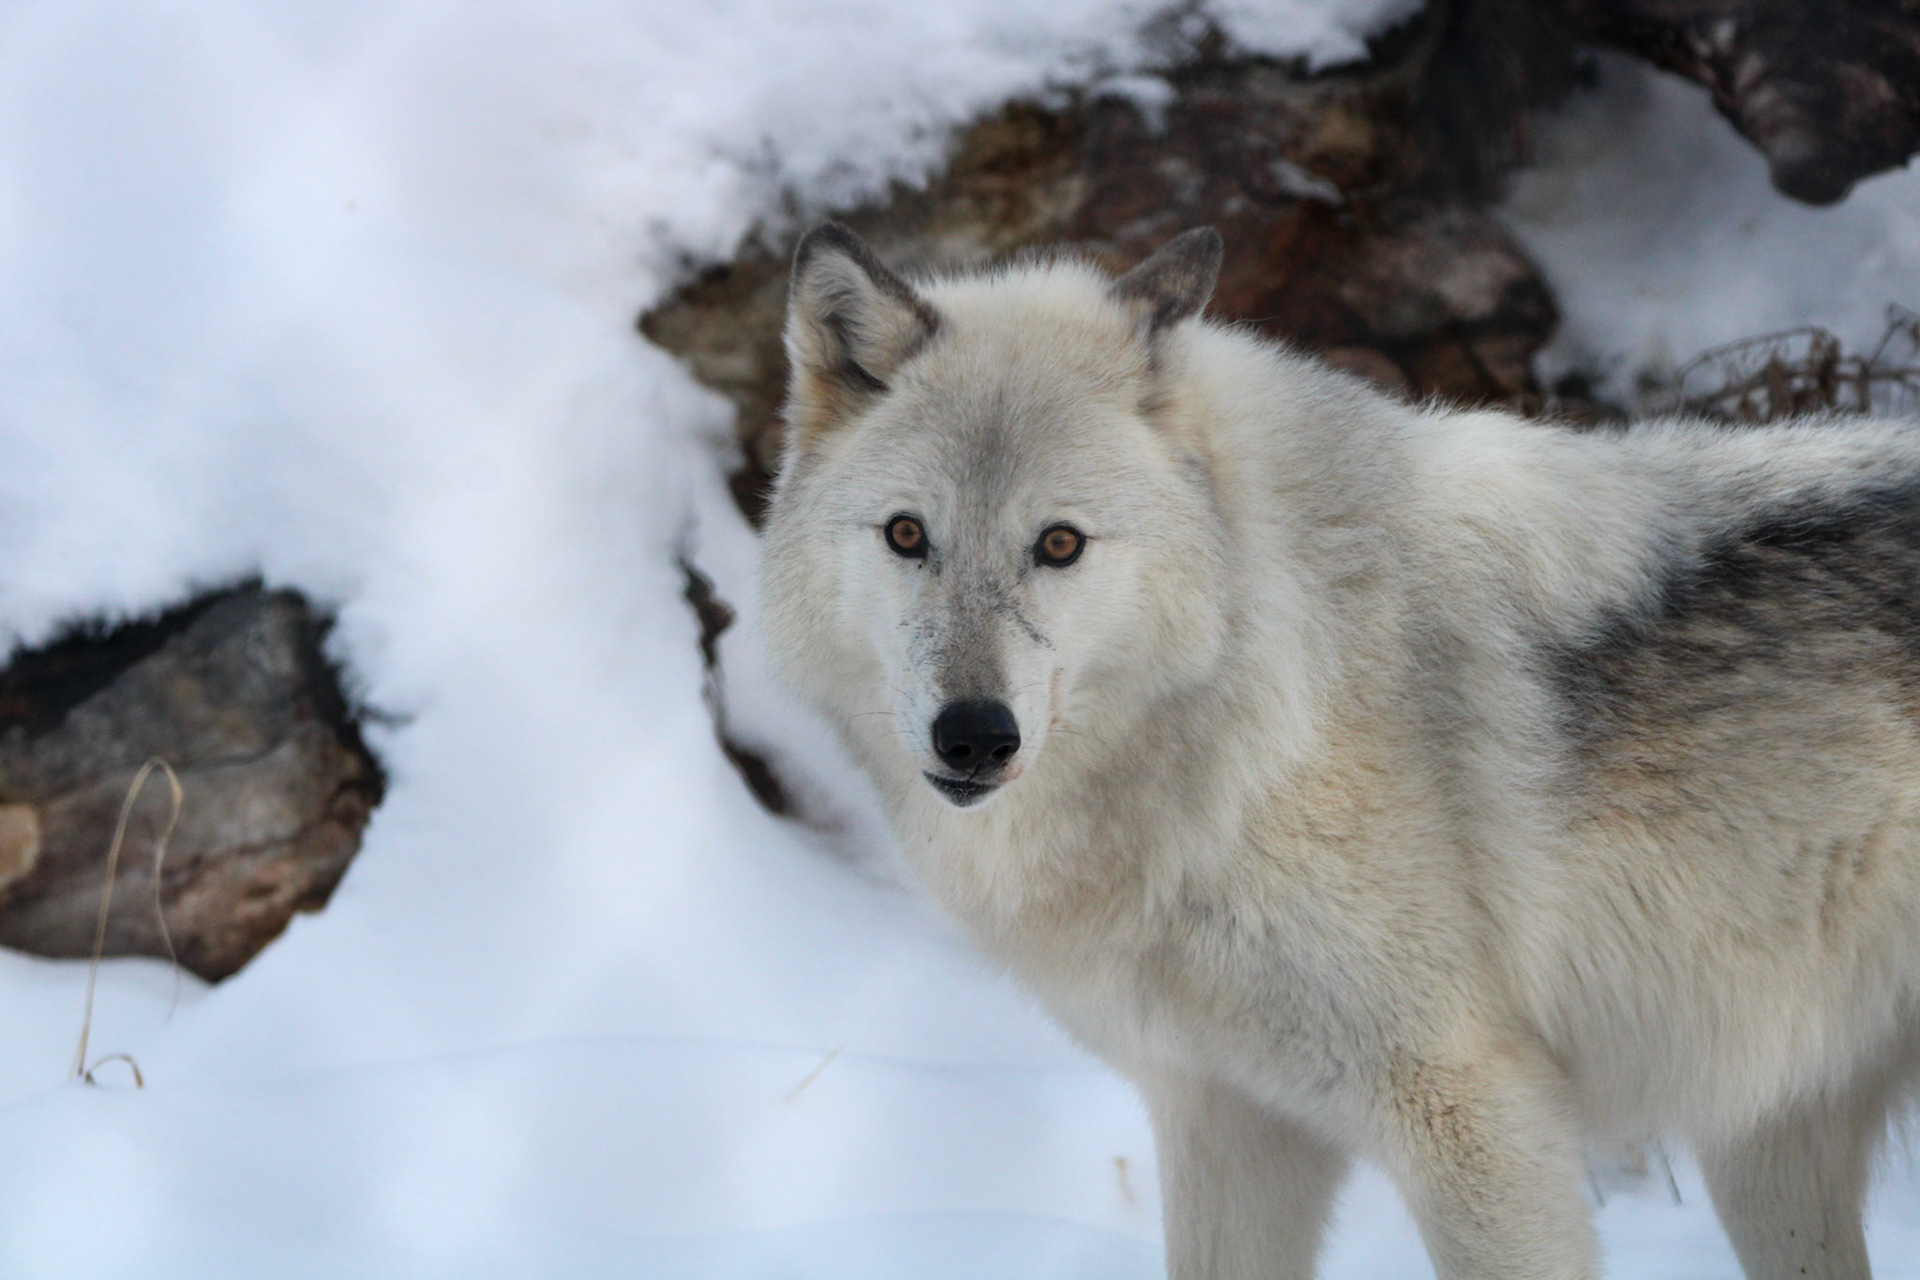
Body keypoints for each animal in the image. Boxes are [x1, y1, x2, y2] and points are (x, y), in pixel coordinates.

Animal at [757, 221, 1920, 1279]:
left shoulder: (1475, 1115)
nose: (974, 733)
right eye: (908, 535)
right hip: (1766, 1151)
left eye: (1058, 543)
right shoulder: (1226, 1118)